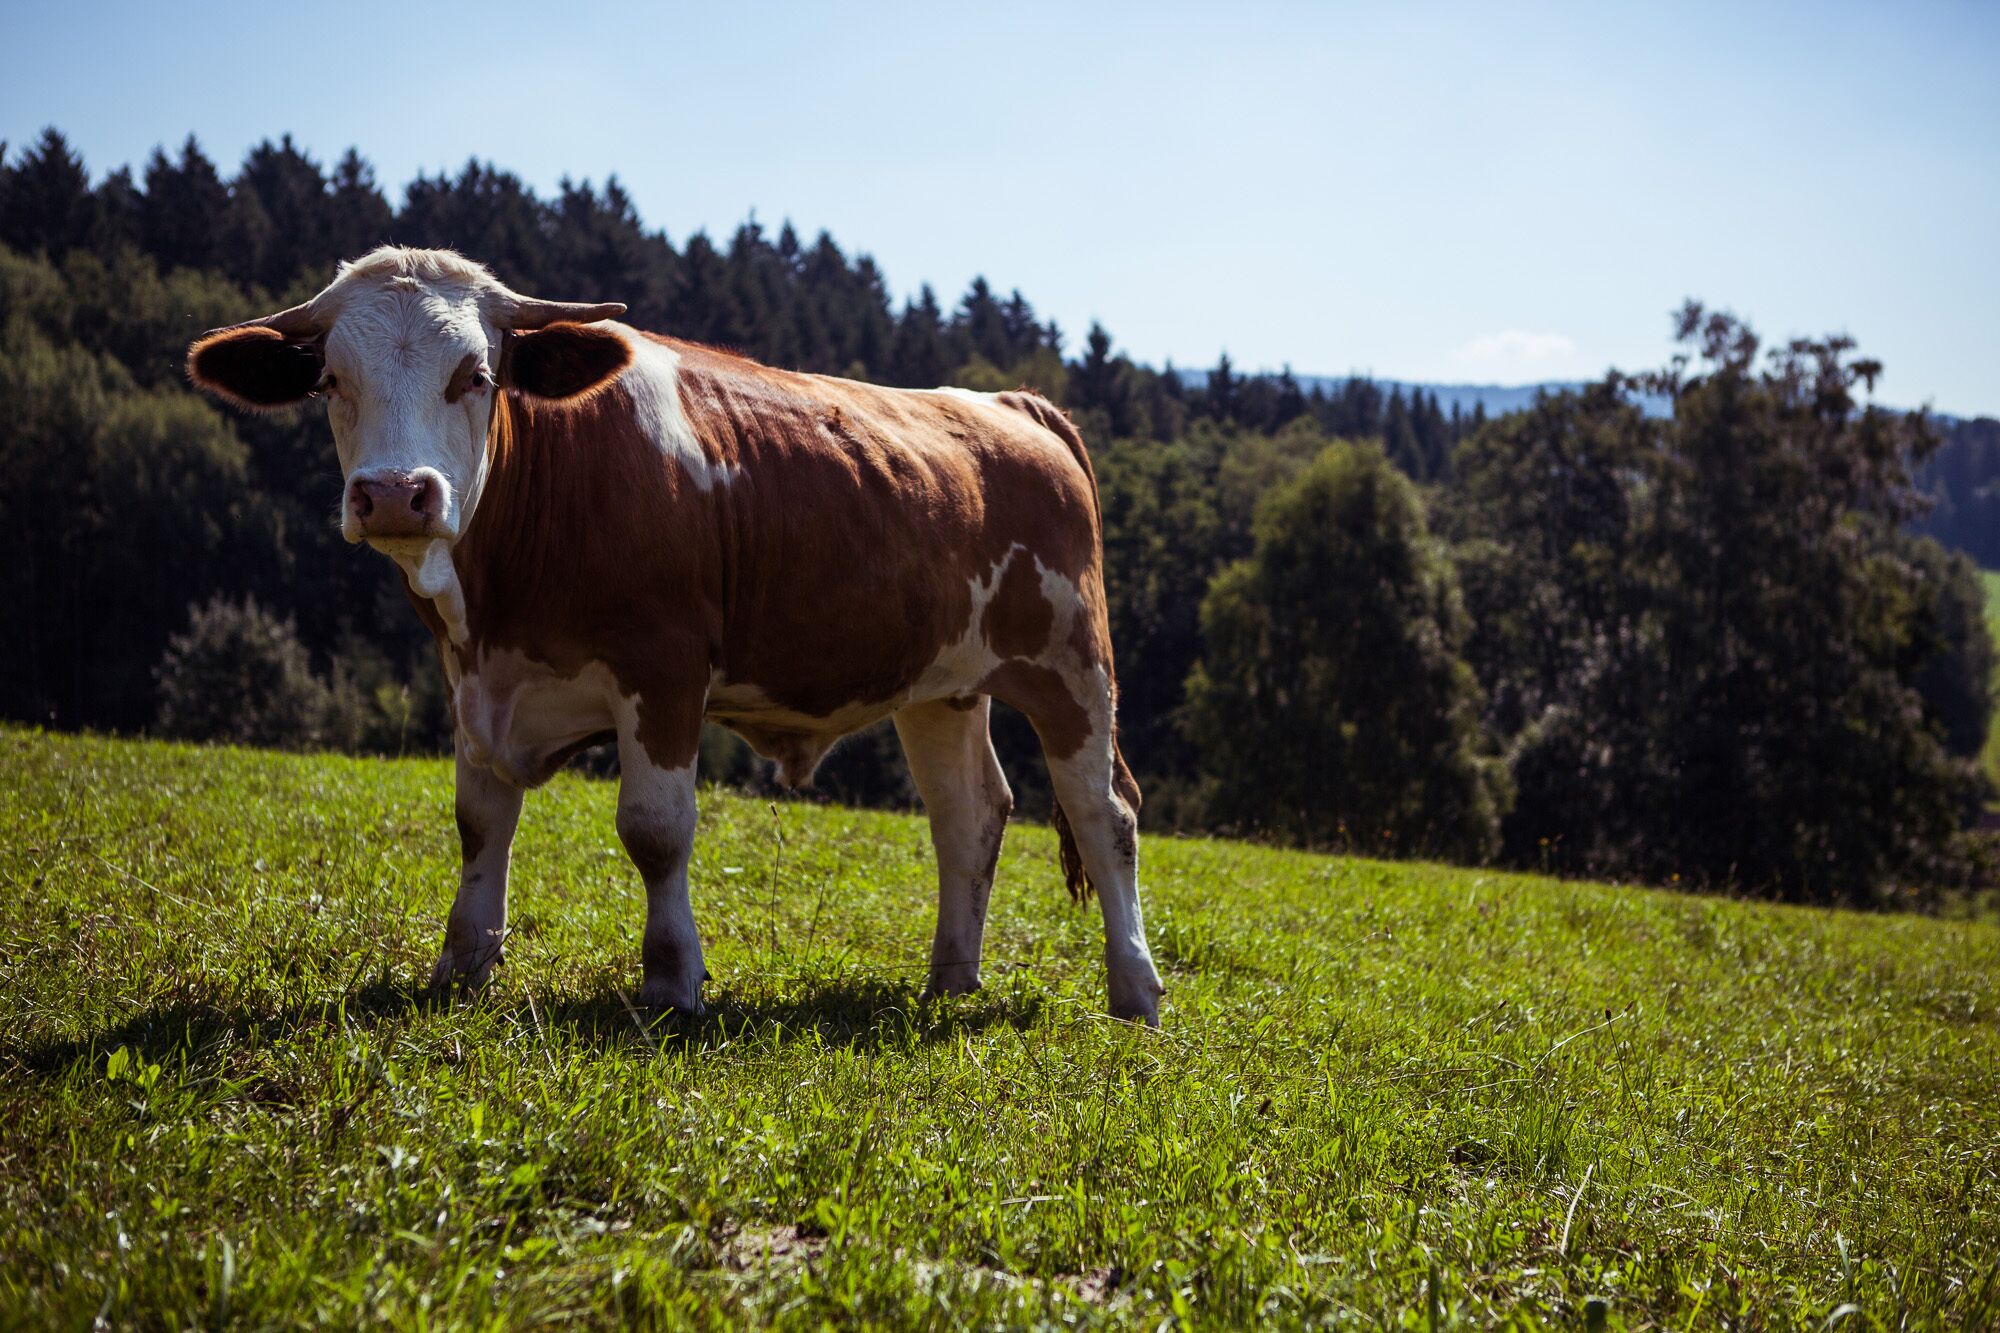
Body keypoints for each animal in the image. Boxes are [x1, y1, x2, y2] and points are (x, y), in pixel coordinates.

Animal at [186, 246, 1165, 1025]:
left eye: (475, 375)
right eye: (331, 381)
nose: (395, 493)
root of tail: (1010, 403)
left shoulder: (662, 668)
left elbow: (655, 828)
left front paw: (671, 980)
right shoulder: (472, 681)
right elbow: (478, 822)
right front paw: (461, 967)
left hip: (1073, 664)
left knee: (1103, 812)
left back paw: (1134, 992)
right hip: (940, 683)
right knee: (969, 816)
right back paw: (950, 982)